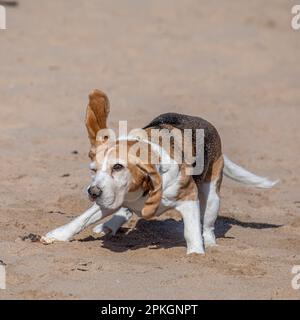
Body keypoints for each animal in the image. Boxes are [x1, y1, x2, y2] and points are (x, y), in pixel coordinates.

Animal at [41, 89, 278, 254]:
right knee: (124, 212)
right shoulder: (110, 198)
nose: (93, 192)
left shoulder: (189, 197)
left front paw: (196, 253)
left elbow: (192, 230)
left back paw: (210, 244)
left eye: (118, 167)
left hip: (212, 196)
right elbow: (81, 219)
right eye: (93, 169)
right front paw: (58, 235)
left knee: (208, 225)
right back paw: (109, 224)